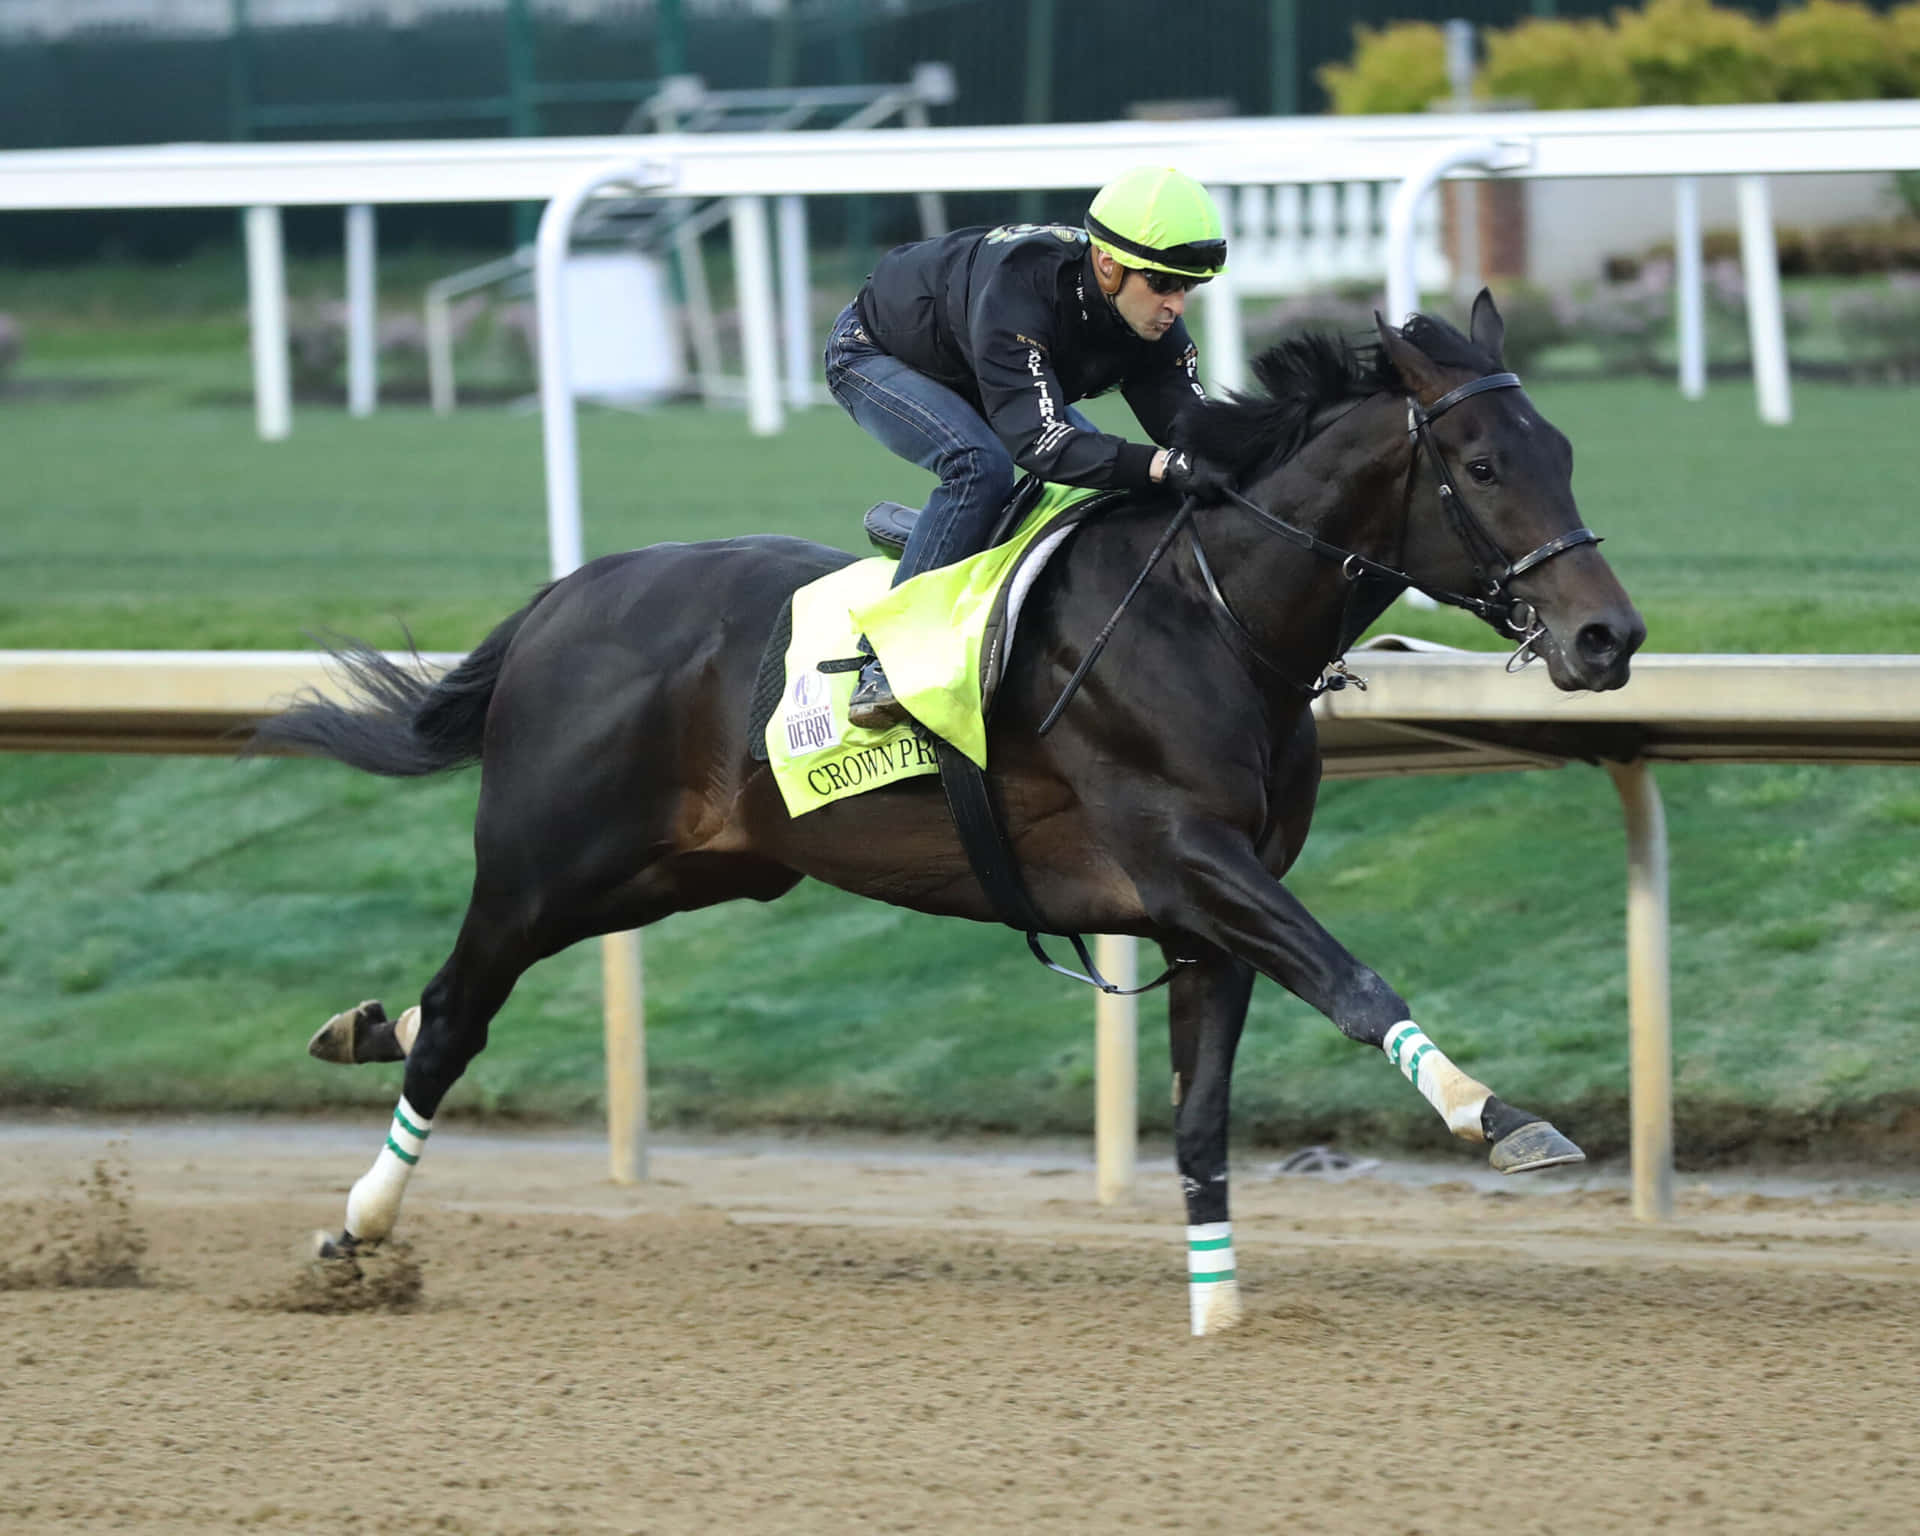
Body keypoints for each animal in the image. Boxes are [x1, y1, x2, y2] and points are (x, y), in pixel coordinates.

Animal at [253, 292, 1644, 1336]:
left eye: (1568, 454)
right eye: (1481, 466)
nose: (1608, 637)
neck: (1213, 614)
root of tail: (563, 597)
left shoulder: (1210, 914)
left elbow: (1202, 1116)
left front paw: (1219, 1310)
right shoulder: (1188, 858)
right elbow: (1356, 984)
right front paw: (1501, 1118)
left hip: (695, 869)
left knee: (457, 997)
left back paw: (364, 1026)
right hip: (546, 858)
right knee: (462, 1014)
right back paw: (357, 1225)